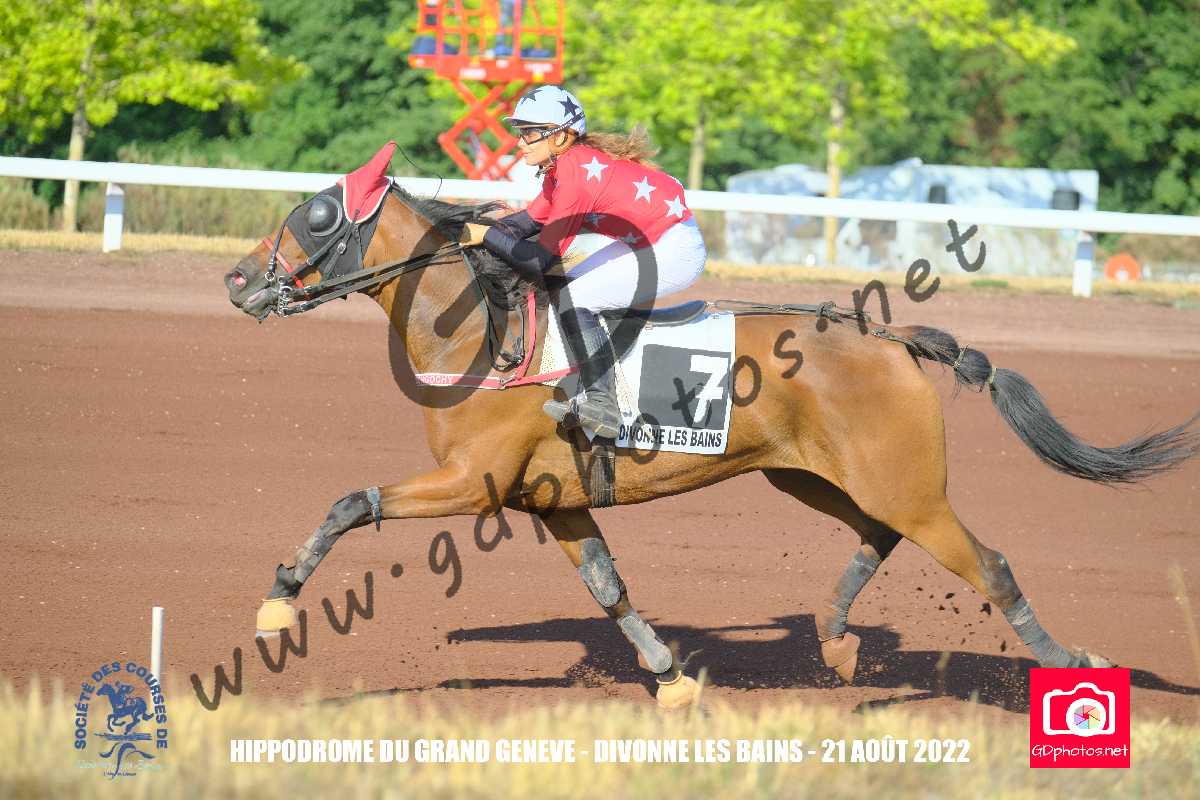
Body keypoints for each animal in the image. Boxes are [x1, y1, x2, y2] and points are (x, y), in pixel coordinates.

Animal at [223, 164, 1198, 709]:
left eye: (315, 216)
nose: (236, 280)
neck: (485, 331)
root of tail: (892, 339)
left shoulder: (476, 482)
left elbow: (350, 502)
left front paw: (278, 600)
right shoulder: (553, 500)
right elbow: (610, 588)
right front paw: (672, 676)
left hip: (908, 487)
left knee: (988, 566)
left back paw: (1069, 665)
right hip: (814, 476)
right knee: (877, 537)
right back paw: (835, 638)